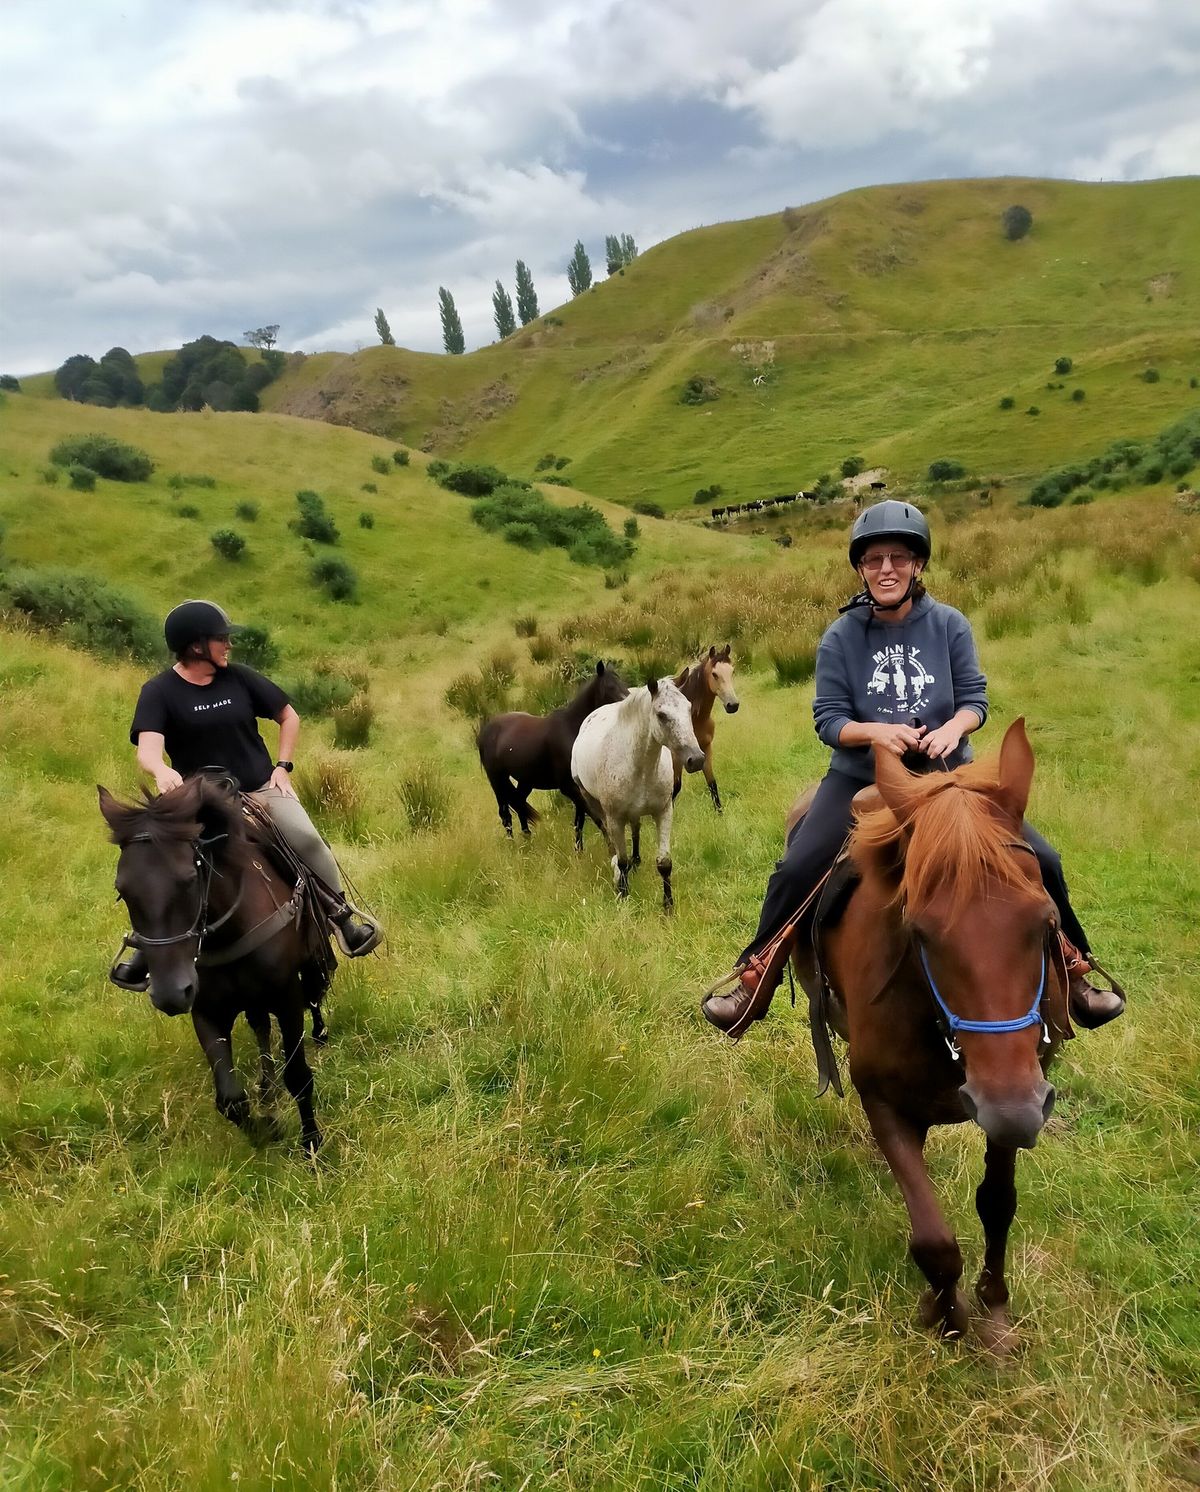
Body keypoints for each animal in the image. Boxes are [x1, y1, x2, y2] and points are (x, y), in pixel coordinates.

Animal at [99, 775, 329, 1145]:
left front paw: (311, 1144)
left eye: (190, 880)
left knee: (314, 993)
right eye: (123, 891)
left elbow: (298, 1076)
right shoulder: (206, 1012)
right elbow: (229, 1100)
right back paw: (266, 1091)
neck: (229, 932)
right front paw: (265, 1132)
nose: (170, 994)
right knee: (261, 1027)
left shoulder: (286, 999)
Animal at [477, 665, 626, 853]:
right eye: (610, 686)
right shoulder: (568, 788)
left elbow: (579, 822)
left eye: (623, 682)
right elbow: (597, 819)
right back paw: (513, 846)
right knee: (505, 813)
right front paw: (612, 850)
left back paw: (528, 841)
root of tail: (485, 730)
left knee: (519, 804)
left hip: (526, 781)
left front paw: (579, 851)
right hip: (497, 780)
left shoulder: (578, 789)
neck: (572, 730)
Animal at [674, 638, 740, 805]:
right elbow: (675, 787)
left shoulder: (706, 749)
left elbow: (712, 784)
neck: (695, 719)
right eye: (714, 674)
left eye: (732, 671)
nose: (733, 705)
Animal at [794, 722, 1074, 1354]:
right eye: (919, 930)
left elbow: (997, 1203)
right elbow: (934, 1241)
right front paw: (946, 1318)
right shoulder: (882, 1100)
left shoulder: (1015, 1092)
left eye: (1047, 921)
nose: (1012, 1107)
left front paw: (994, 1311)